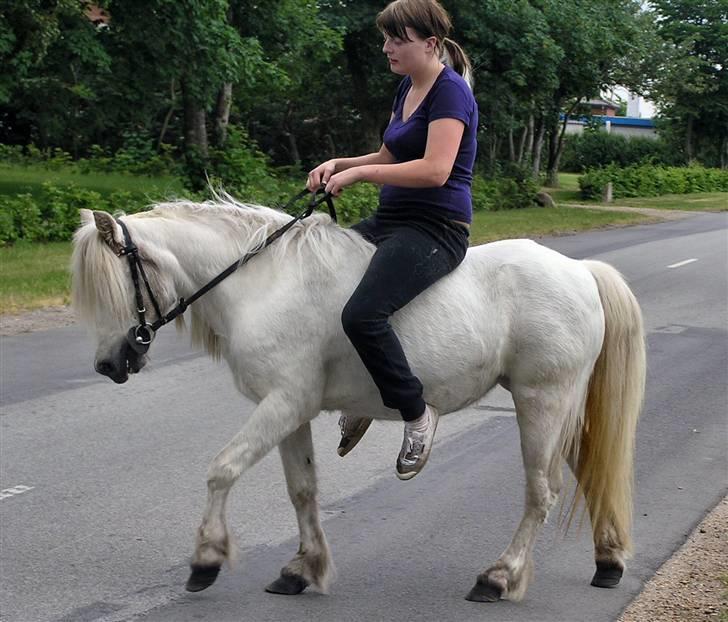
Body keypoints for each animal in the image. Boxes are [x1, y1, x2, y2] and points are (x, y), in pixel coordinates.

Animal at [71, 199, 644, 604]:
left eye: (114, 289)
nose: (108, 365)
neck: (263, 283)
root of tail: (581, 271)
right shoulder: (292, 412)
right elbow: (302, 490)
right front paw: (303, 568)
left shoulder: (280, 404)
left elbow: (222, 469)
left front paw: (206, 560)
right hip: (556, 409)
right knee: (589, 469)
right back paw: (608, 561)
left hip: (541, 403)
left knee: (542, 493)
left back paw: (500, 578)